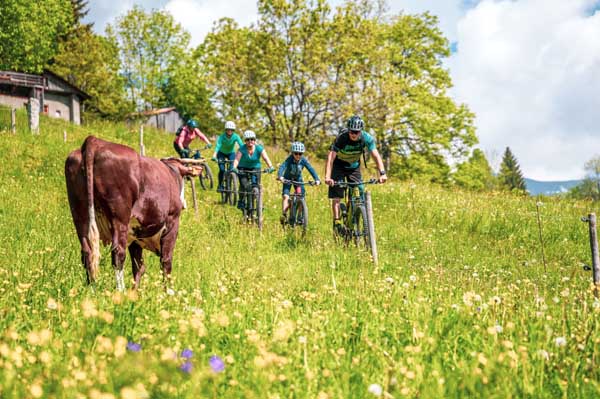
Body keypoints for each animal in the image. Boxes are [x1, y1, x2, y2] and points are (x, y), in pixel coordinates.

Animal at [65, 137, 199, 290]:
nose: (184, 204)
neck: (172, 173)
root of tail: (96, 141)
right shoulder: (172, 223)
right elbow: (166, 262)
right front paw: (169, 292)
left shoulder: (135, 234)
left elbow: (138, 267)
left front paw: (135, 292)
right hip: (119, 216)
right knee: (118, 253)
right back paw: (120, 290)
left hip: (79, 213)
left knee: (87, 252)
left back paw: (91, 289)